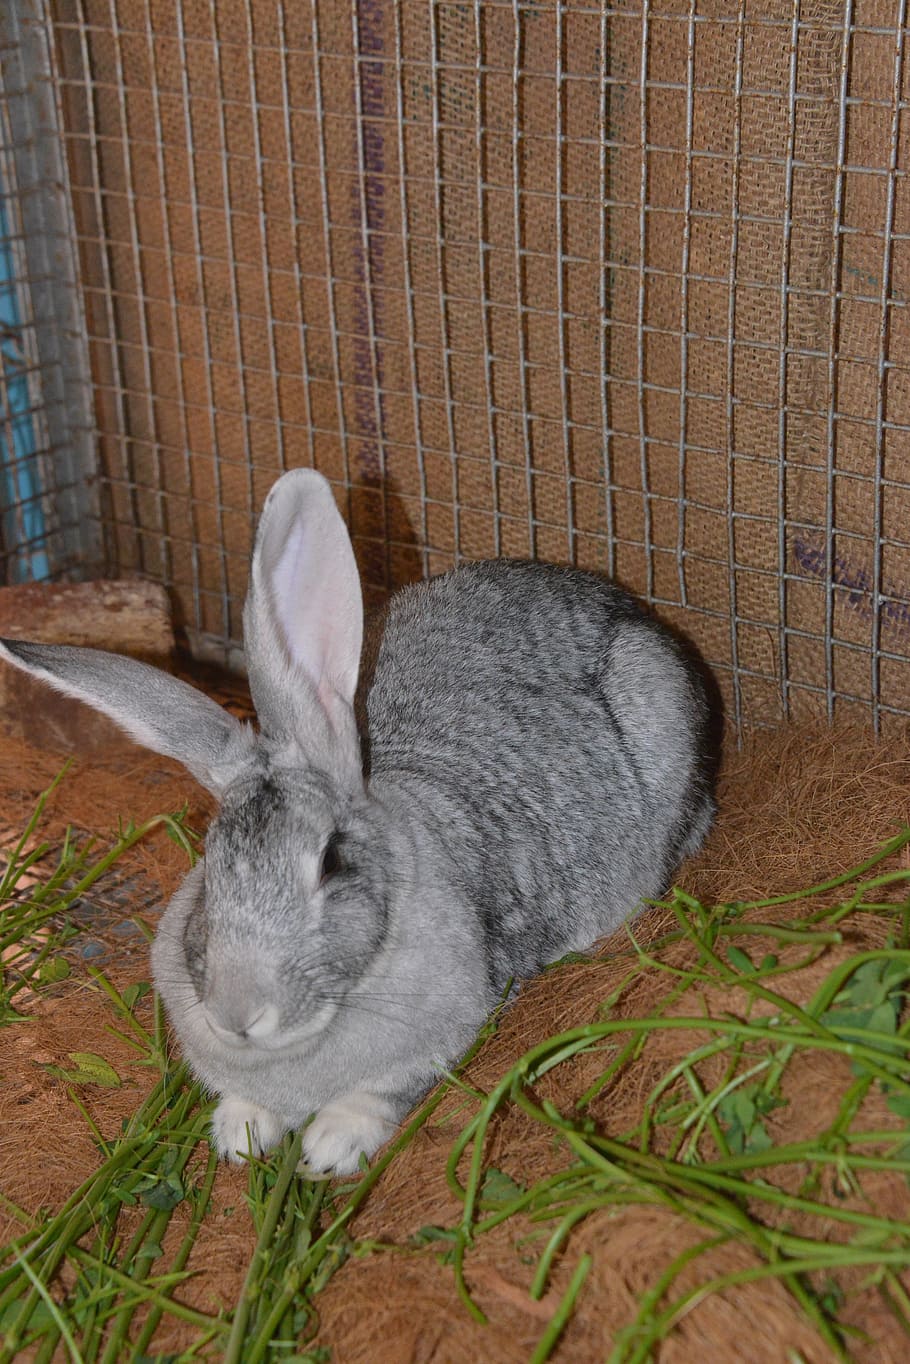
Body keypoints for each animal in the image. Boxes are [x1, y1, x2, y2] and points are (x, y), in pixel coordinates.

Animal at [0, 469, 716, 1175]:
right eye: (210, 864)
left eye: (331, 862)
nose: (237, 1015)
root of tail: (620, 602)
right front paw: (240, 1132)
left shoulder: (450, 1026)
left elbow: (383, 1093)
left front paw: (330, 1148)